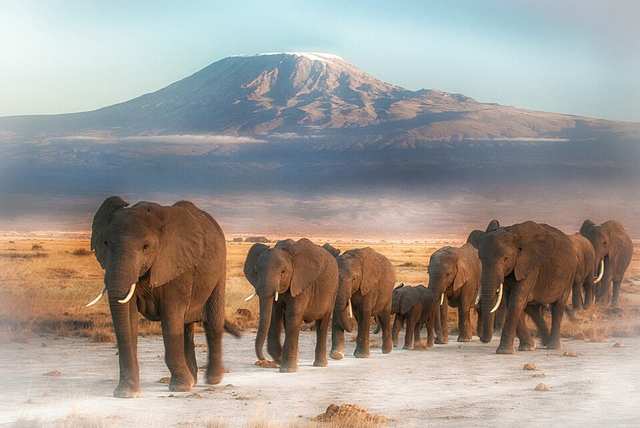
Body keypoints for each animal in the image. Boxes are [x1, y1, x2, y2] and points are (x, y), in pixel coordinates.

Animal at [87, 197, 239, 398]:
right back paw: (194, 380)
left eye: (146, 247)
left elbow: (171, 316)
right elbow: (128, 316)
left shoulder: (177, 265)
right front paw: (127, 393)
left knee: (212, 322)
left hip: (220, 269)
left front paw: (180, 387)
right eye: (106, 243)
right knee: (187, 327)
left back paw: (212, 380)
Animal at [243, 238, 339, 372]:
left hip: (333, 290)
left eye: (283, 272)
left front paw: (287, 369)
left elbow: (293, 315)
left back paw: (320, 364)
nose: (263, 360)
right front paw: (282, 360)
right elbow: (274, 314)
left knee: (322, 323)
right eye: (256, 271)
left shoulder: (301, 283)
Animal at [476, 221, 577, 354]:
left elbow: (516, 300)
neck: (512, 232)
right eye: (480, 259)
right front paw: (527, 347)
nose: (482, 338)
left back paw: (552, 347)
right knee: (532, 308)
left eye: (505, 259)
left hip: (569, 274)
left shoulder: (530, 266)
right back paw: (543, 343)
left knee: (558, 305)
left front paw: (504, 352)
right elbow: (512, 301)